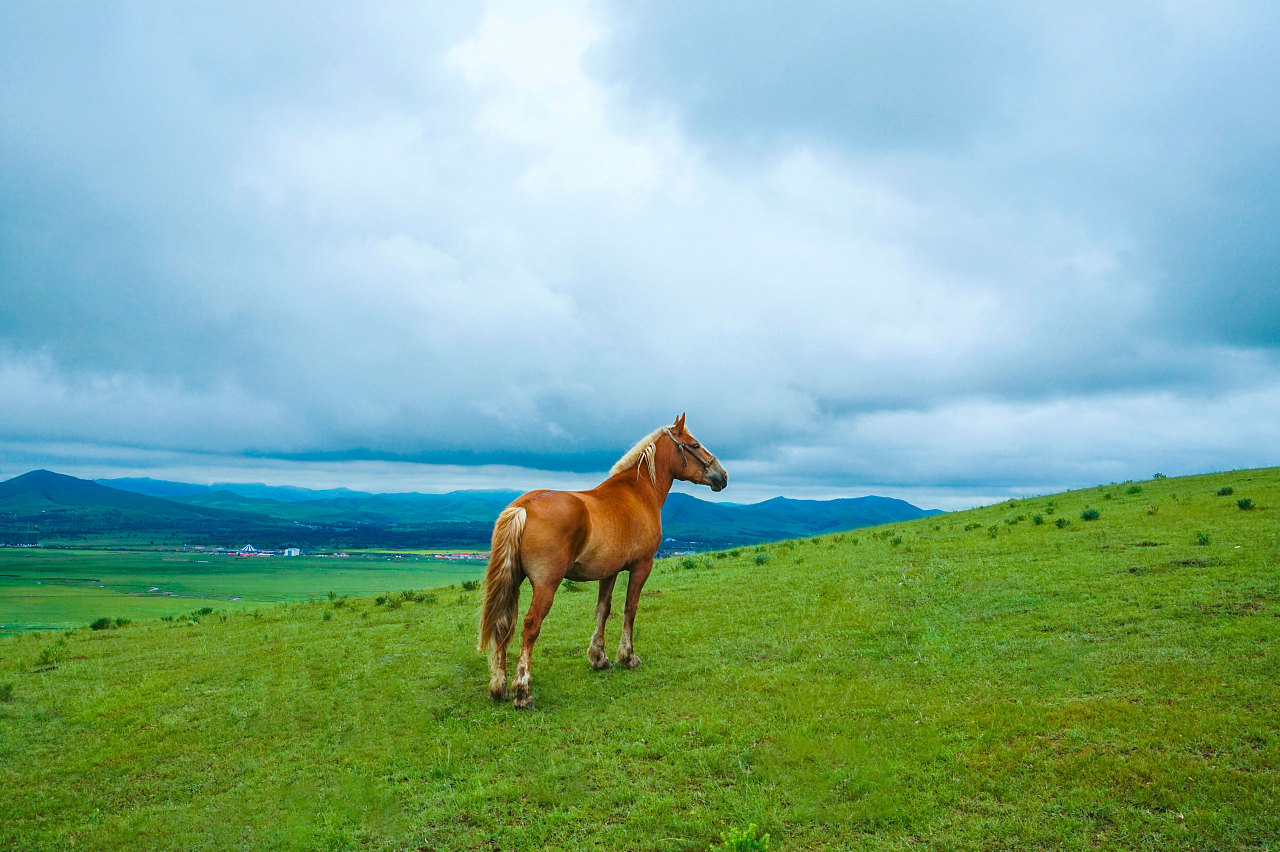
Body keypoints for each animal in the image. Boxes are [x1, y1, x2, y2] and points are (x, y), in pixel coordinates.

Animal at [476, 414, 727, 706]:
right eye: (695, 445)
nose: (722, 475)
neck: (639, 491)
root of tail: (523, 507)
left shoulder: (609, 571)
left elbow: (603, 610)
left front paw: (599, 658)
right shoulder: (642, 566)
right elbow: (630, 608)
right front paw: (628, 657)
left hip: (513, 580)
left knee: (503, 624)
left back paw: (500, 686)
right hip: (546, 585)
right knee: (529, 626)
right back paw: (522, 691)